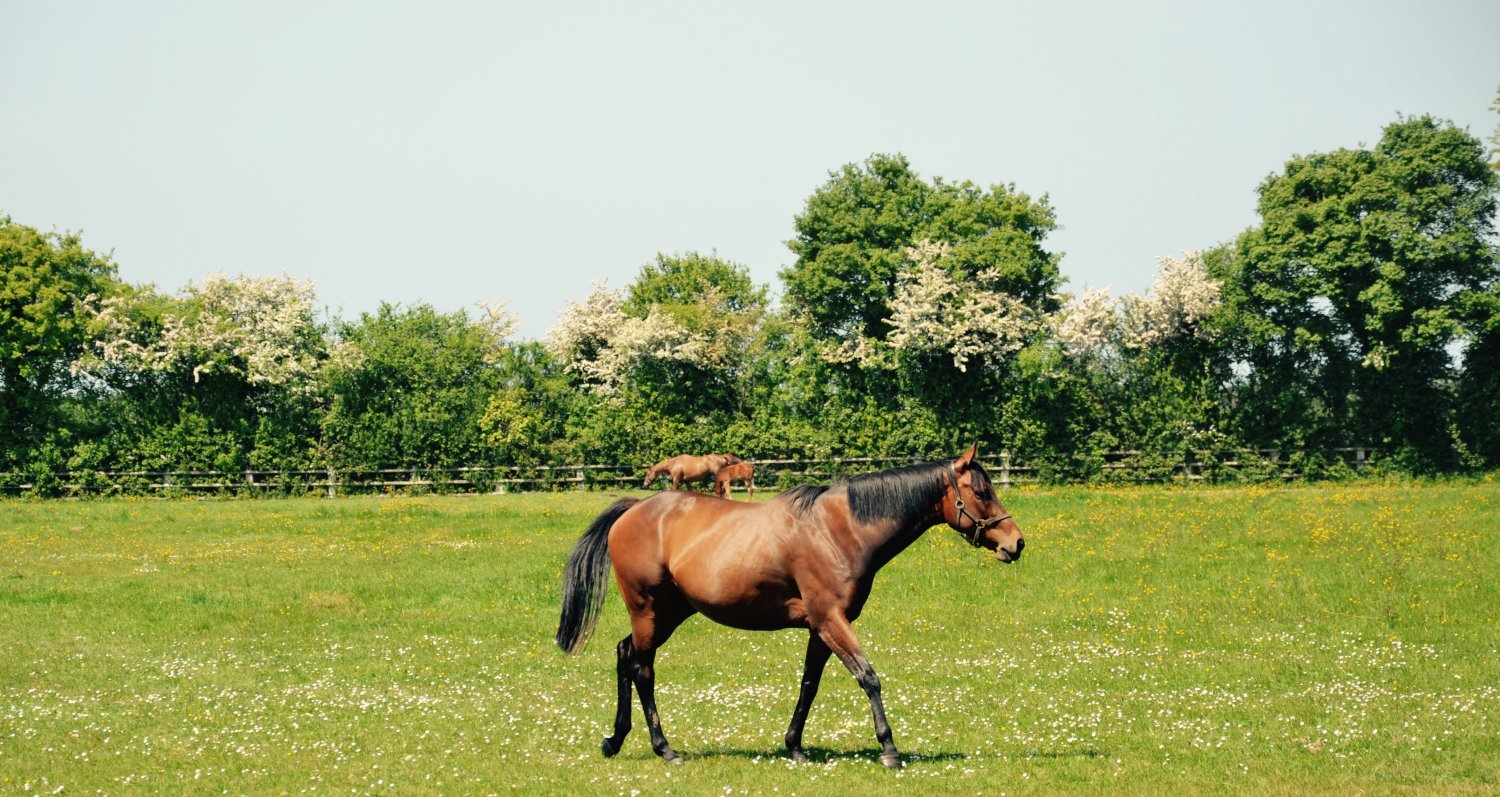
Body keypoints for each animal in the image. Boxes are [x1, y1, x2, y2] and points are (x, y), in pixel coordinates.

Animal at [556, 444, 1023, 768]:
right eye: (981, 492)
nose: (1015, 543)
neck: (840, 530)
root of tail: (635, 509)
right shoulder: (832, 621)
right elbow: (868, 678)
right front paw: (889, 748)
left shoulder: (820, 628)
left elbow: (809, 685)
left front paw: (794, 747)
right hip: (648, 611)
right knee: (643, 670)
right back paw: (663, 748)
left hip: (669, 613)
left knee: (625, 655)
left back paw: (615, 740)